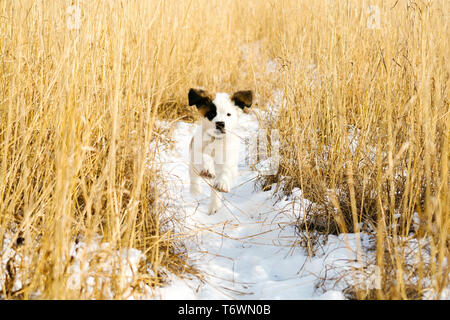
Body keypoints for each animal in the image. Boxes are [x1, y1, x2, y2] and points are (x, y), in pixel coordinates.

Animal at [187, 87, 253, 215]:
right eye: (212, 114)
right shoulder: (196, 151)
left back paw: (214, 206)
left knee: (214, 190)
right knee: (193, 175)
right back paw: (195, 190)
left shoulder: (230, 158)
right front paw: (208, 169)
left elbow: (226, 169)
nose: (220, 124)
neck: (216, 140)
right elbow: (204, 156)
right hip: (192, 162)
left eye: (228, 114)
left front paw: (222, 183)